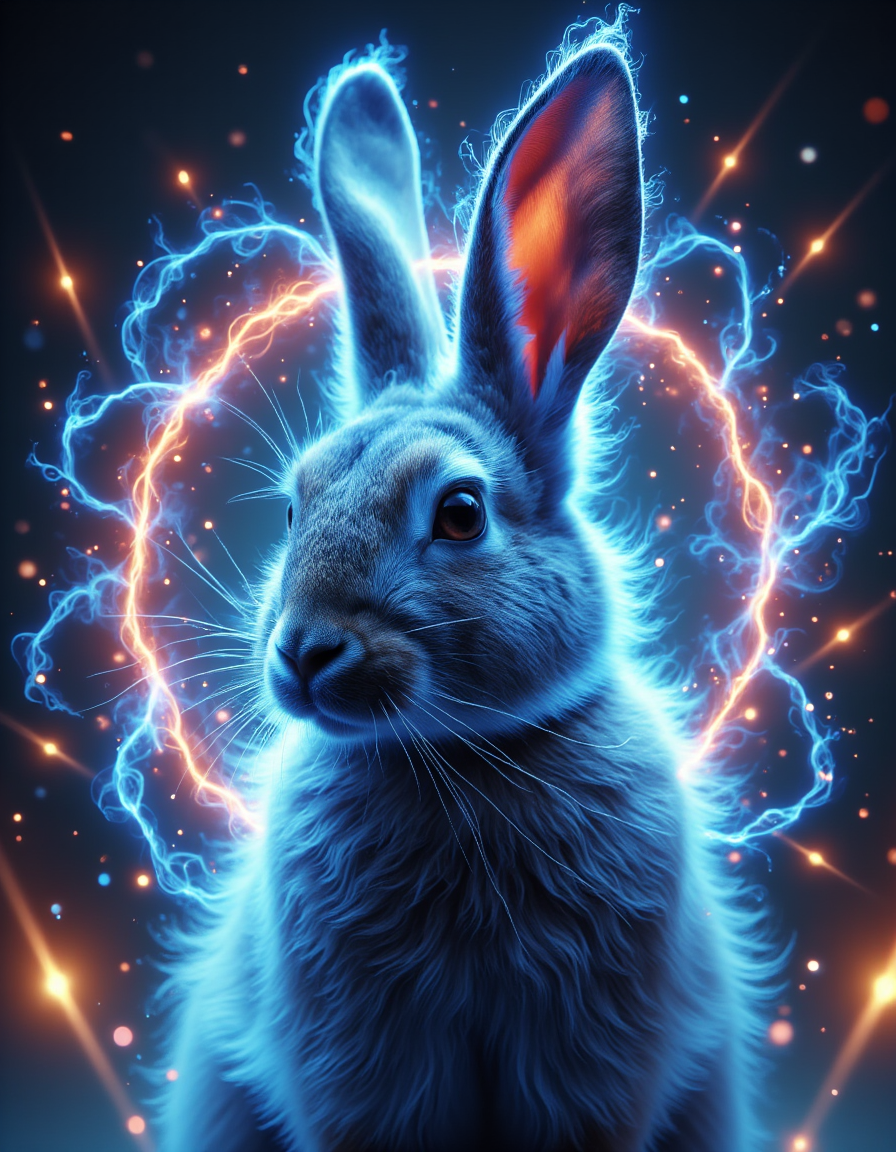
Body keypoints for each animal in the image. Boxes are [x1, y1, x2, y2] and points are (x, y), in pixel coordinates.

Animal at [156, 42, 773, 1152]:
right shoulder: (364, 1074)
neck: (460, 758)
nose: (303, 653)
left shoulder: (588, 1068)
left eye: (458, 513)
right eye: (292, 506)